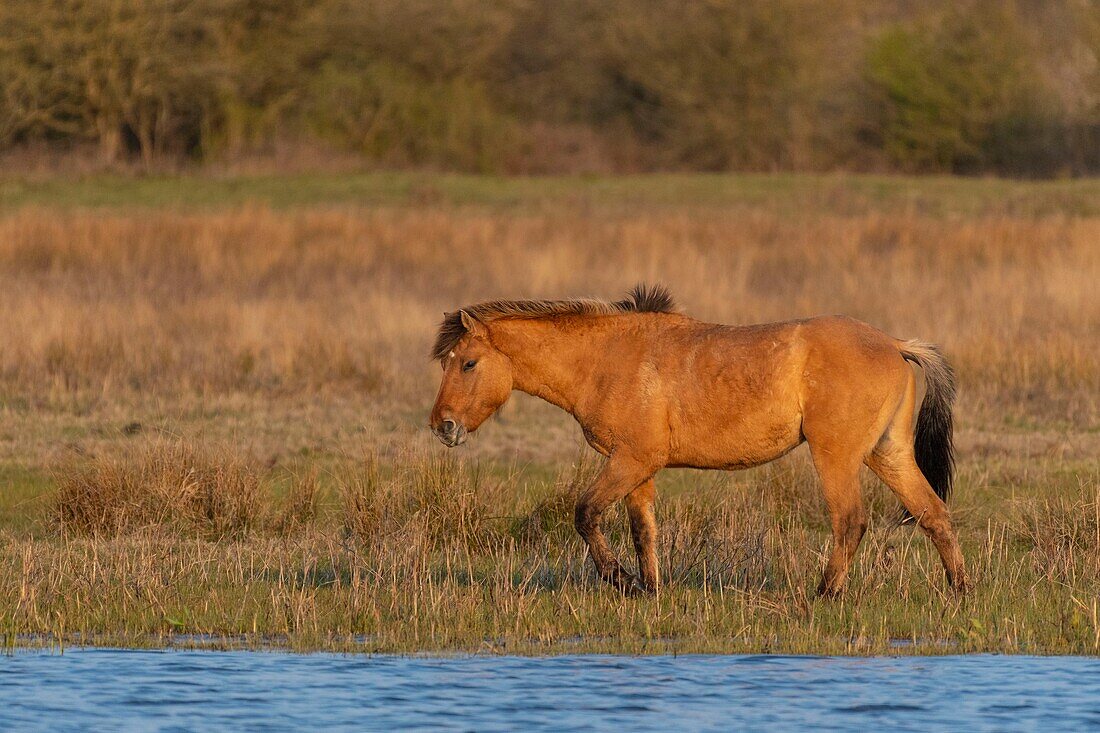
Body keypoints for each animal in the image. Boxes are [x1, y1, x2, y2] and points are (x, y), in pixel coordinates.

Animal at [424, 281, 968, 598]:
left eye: (468, 363)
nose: (442, 426)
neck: (606, 358)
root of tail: (895, 344)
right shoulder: (637, 467)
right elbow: (643, 530)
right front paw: (648, 589)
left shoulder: (630, 460)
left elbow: (585, 514)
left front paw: (621, 580)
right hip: (888, 455)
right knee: (934, 515)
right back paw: (960, 590)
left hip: (837, 457)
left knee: (850, 522)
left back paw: (823, 595)